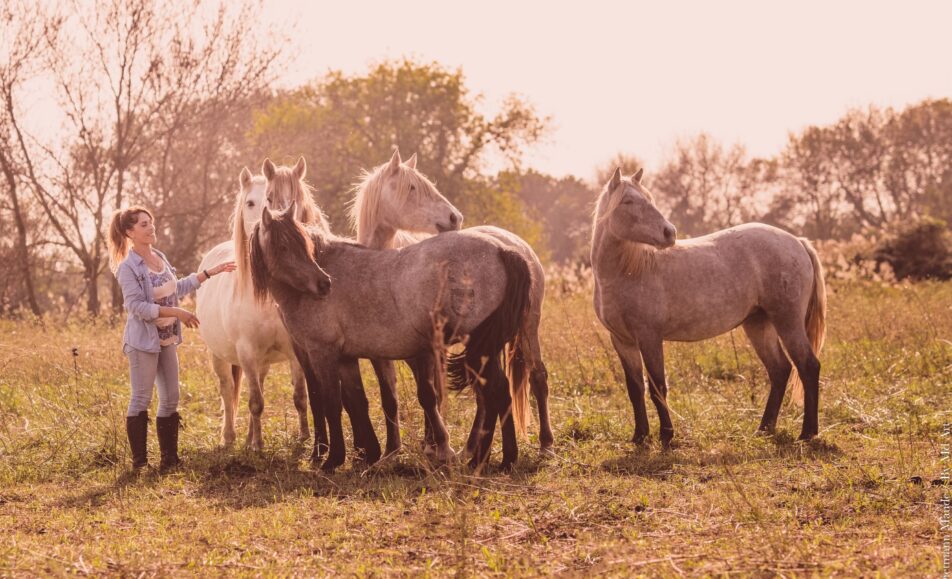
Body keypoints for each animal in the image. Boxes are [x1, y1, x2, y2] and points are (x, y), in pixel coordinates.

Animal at [195, 156, 326, 450]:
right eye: (252, 202)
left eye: (294, 200)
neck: (268, 300)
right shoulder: (246, 352)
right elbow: (254, 402)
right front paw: (257, 445)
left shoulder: (294, 351)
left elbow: (299, 397)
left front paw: (303, 437)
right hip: (219, 357)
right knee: (227, 391)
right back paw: (229, 437)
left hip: (262, 361)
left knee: (259, 385)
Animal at [249, 202, 536, 474]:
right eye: (284, 246)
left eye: (305, 245)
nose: (324, 284)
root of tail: (502, 250)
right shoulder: (345, 358)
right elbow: (356, 401)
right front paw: (368, 455)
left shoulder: (322, 354)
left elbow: (331, 403)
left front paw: (332, 460)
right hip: (484, 350)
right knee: (499, 393)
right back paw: (493, 460)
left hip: (478, 349)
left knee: (494, 393)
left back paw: (492, 459)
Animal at [592, 168, 820, 448]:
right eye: (627, 201)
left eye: (648, 198)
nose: (669, 233)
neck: (628, 270)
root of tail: (797, 241)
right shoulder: (623, 341)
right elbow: (636, 389)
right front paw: (640, 437)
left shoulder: (649, 337)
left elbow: (657, 387)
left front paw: (666, 436)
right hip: (759, 324)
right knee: (780, 370)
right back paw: (764, 429)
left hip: (787, 321)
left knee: (808, 366)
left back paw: (807, 433)